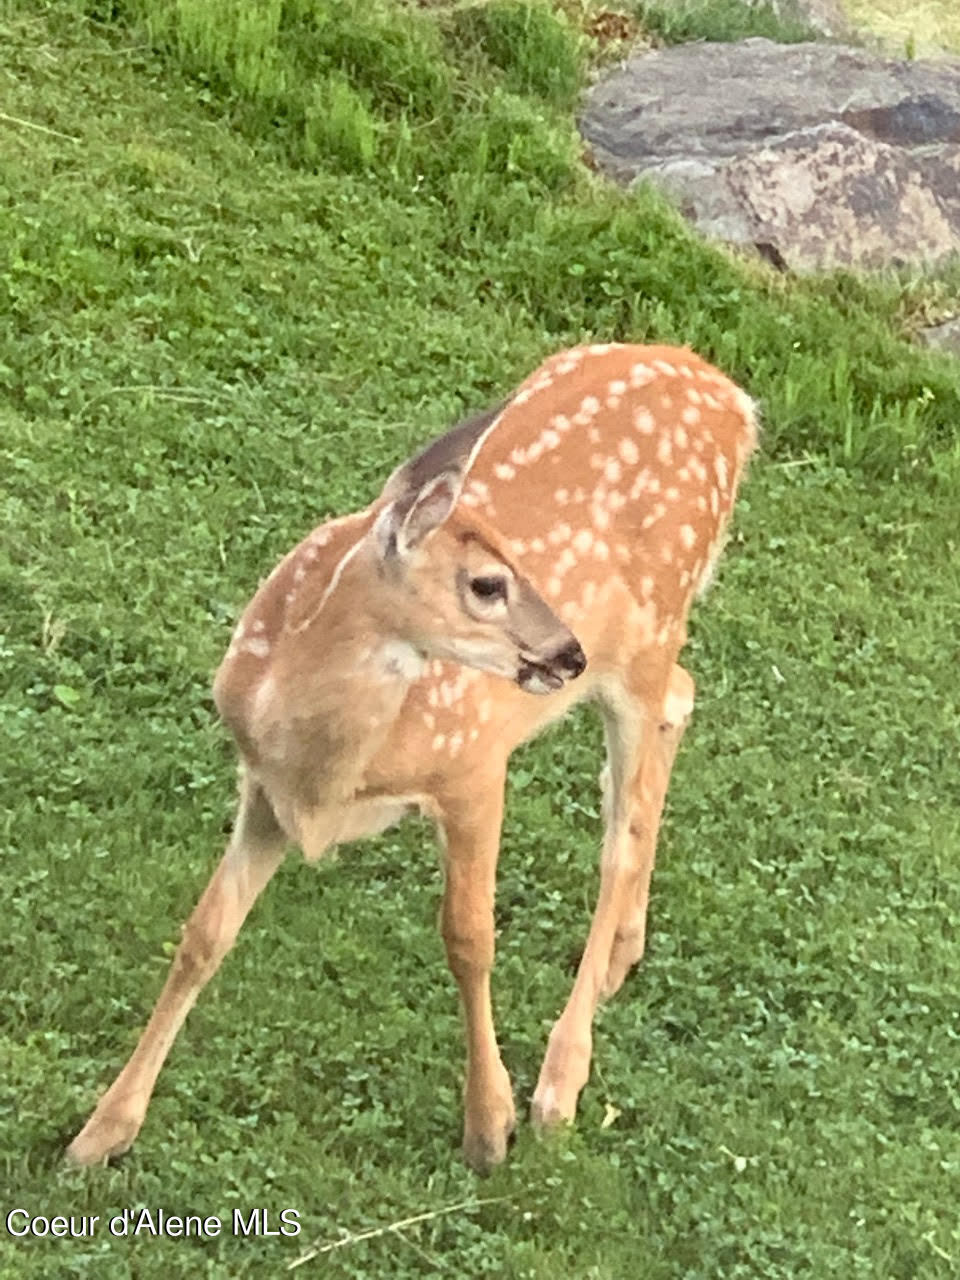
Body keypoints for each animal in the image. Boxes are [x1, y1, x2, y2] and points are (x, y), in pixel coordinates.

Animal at [67, 345, 757, 1172]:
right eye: (488, 583)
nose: (566, 652)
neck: (332, 770)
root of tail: (735, 401)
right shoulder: (264, 787)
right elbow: (204, 936)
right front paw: (101, 1132)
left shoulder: (472, 766)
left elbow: (469, 938)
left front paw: (489, 1127)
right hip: (646, 650)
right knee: (679, 707)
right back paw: (625, 955)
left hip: (648, 635)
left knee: (619, 834)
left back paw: (559, 1084)